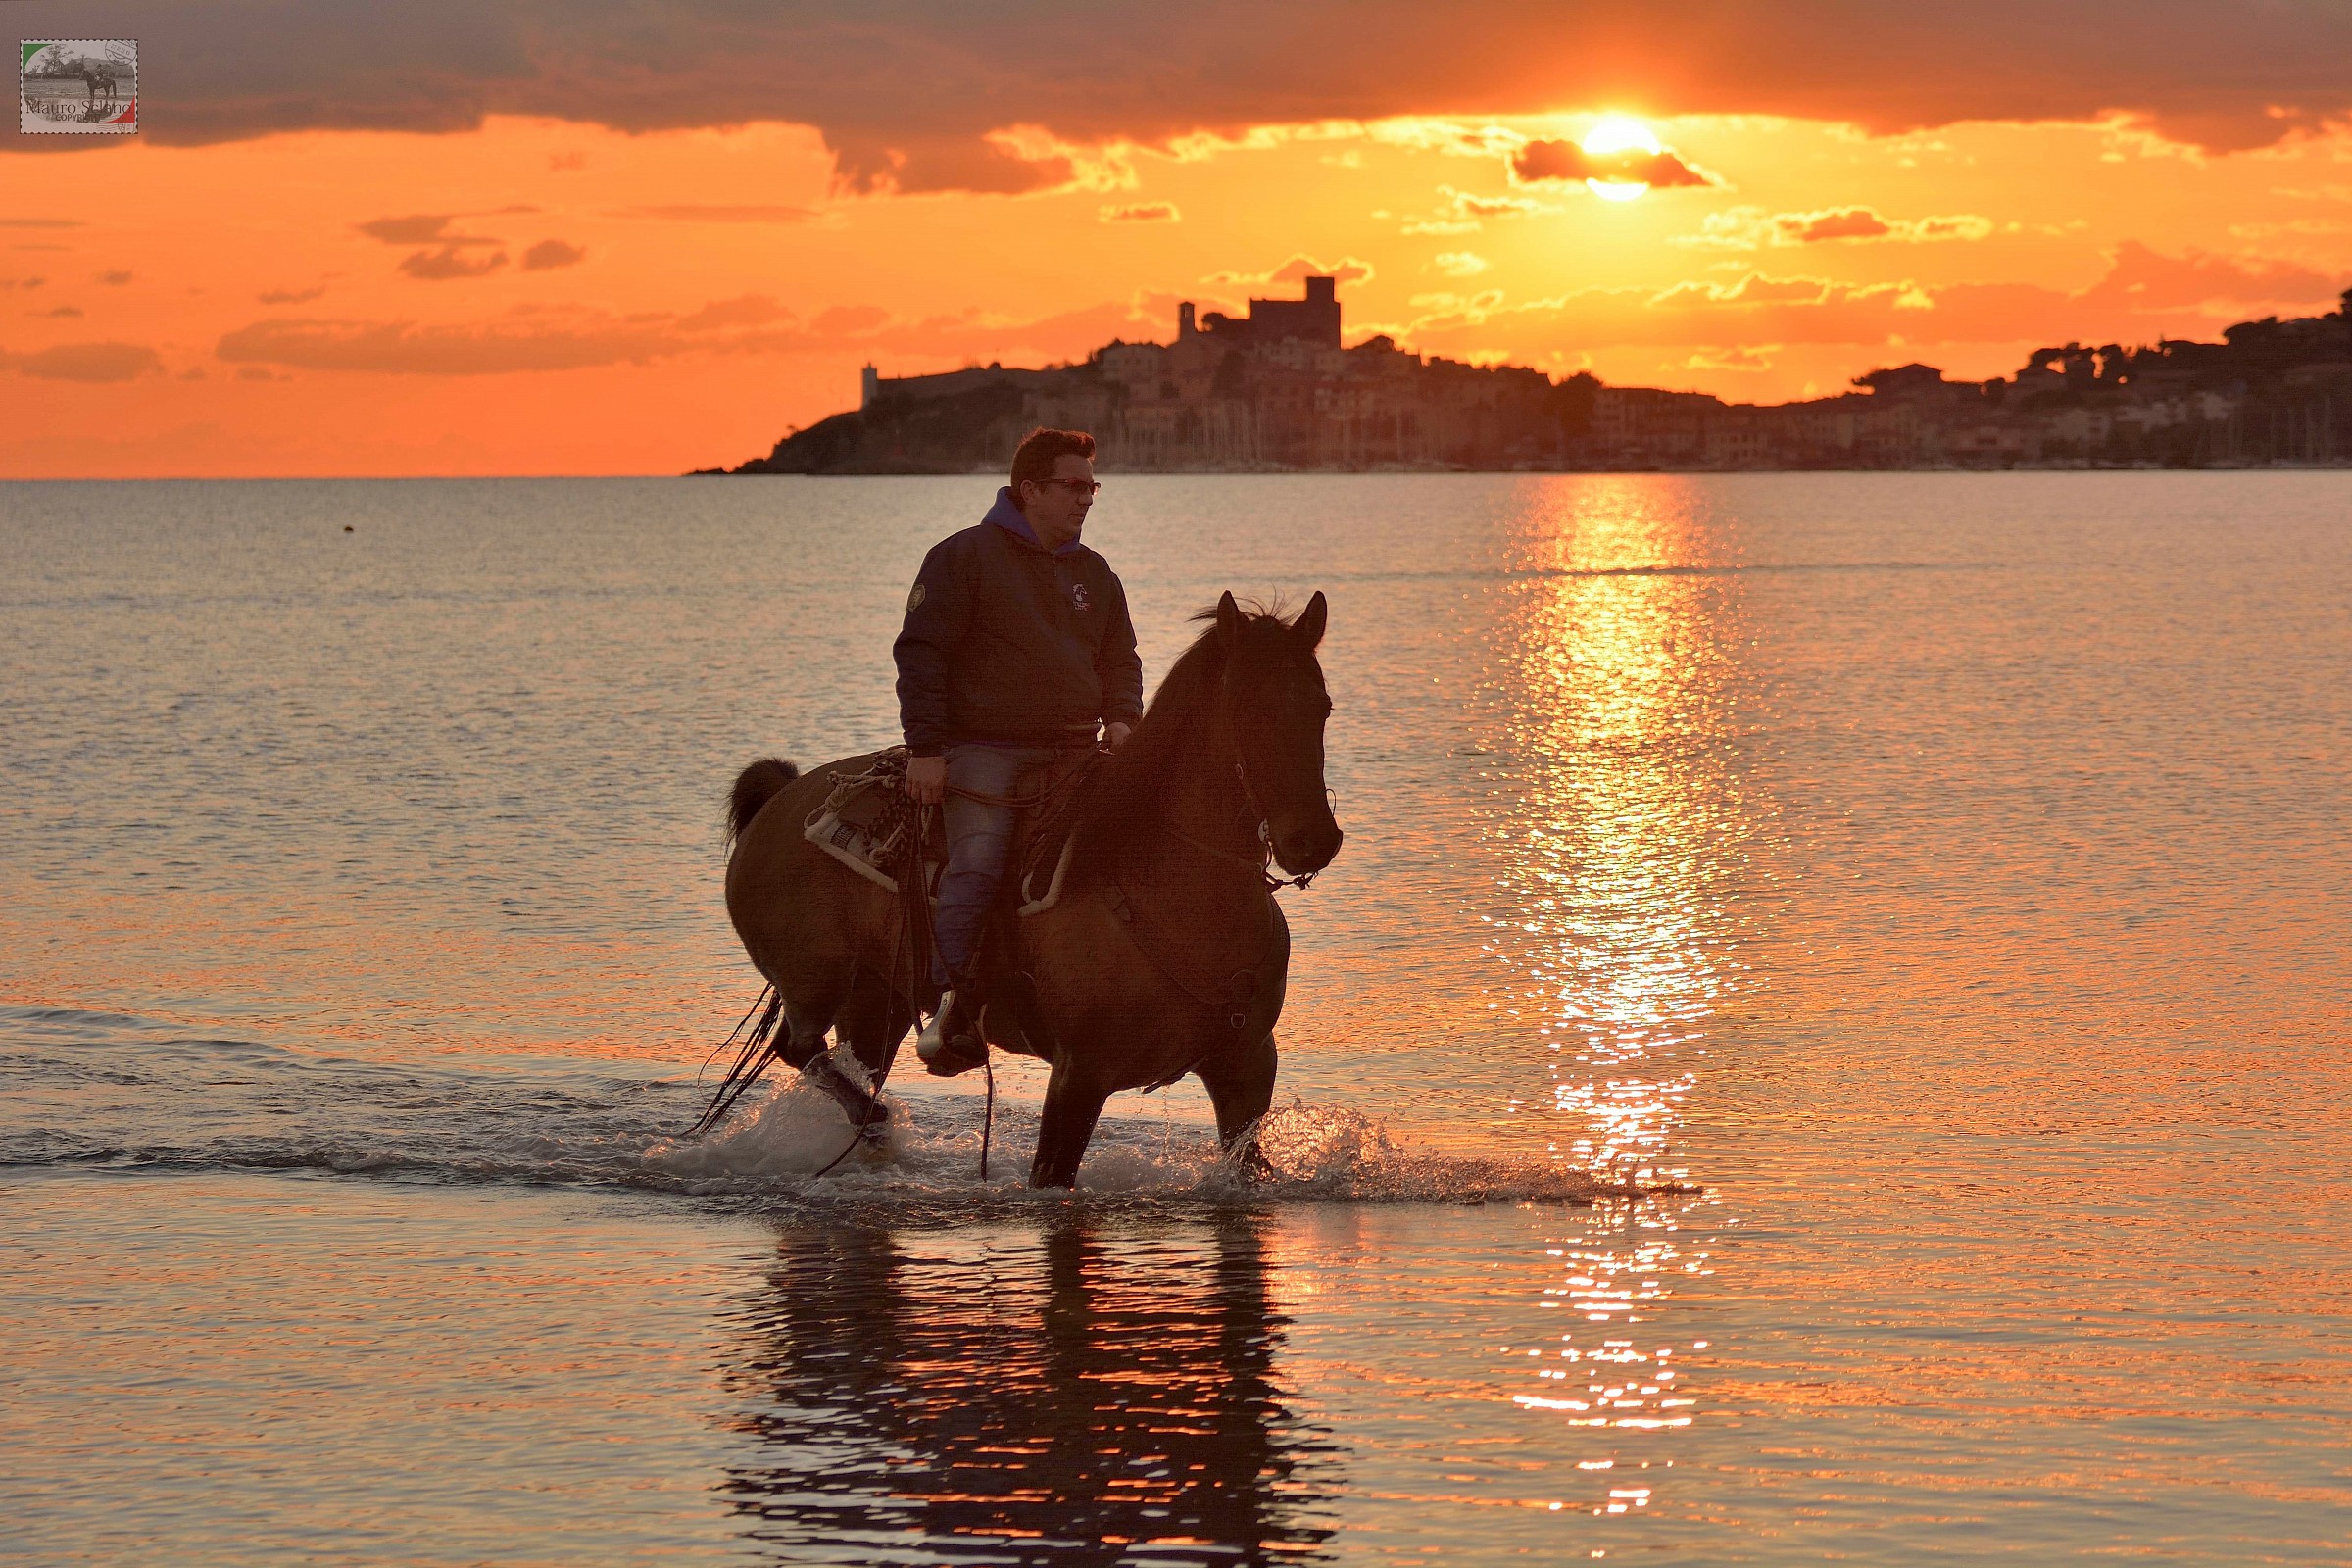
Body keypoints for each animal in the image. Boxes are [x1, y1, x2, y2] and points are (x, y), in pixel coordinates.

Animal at [718, 591, 1343, 1187]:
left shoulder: (1247, 1067)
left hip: (878, 1000)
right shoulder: (1079, 1076)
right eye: (1248, 708)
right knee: (798, 1047)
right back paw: (878, 1120)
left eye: (1323, 706)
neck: (1174, 889)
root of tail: (781, 798)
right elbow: (1051, 1174)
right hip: (814, 980)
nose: (1313, 840)